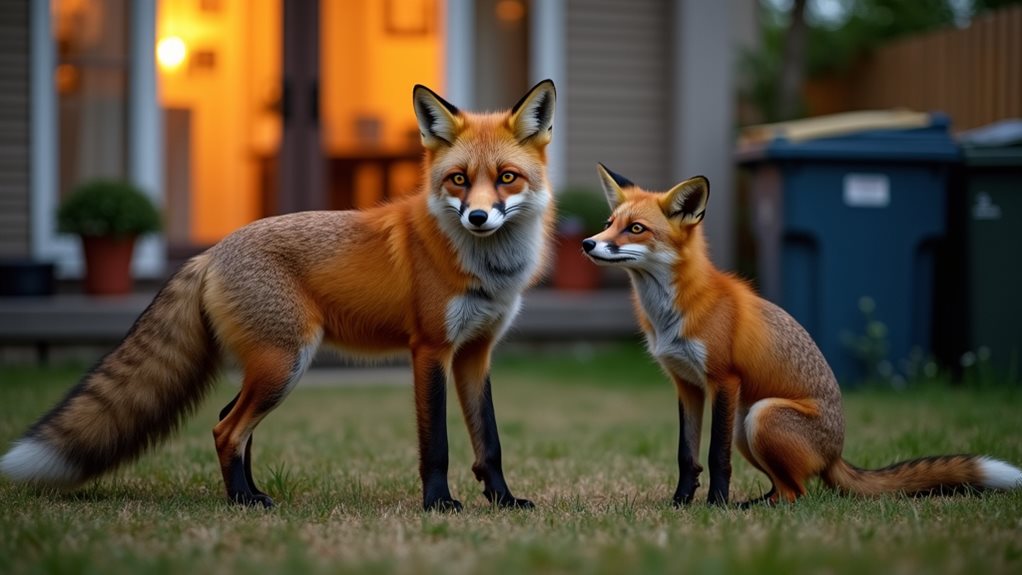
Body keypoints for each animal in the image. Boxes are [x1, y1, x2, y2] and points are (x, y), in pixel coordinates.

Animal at [0, 80, 558, 511]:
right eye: (459, 180)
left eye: (507, 178)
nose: (478, 217)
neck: (486, 270)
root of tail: (210, 253)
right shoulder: (430, 350)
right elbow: (436, 443)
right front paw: (438, 504)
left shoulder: (475, 353)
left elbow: (490, 440)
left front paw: (504, 501)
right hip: (285, 362)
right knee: (227, 430)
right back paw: (242, 502)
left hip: (272, 365)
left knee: (228, 422)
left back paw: (250, 494)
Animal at [582, 163, 1022, 506]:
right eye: (609, 224)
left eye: (636, 229)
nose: (587, 243)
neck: (674, 311)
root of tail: (835, 454)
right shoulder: (687, 385)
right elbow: (686, 455)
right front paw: (679, 505)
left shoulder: (724, 380)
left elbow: (715, 455)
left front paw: (715, 506)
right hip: (747, 427)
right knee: (788, 489)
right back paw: (754, 503)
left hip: (759, 416)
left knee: (799, 494)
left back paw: (744, 508)